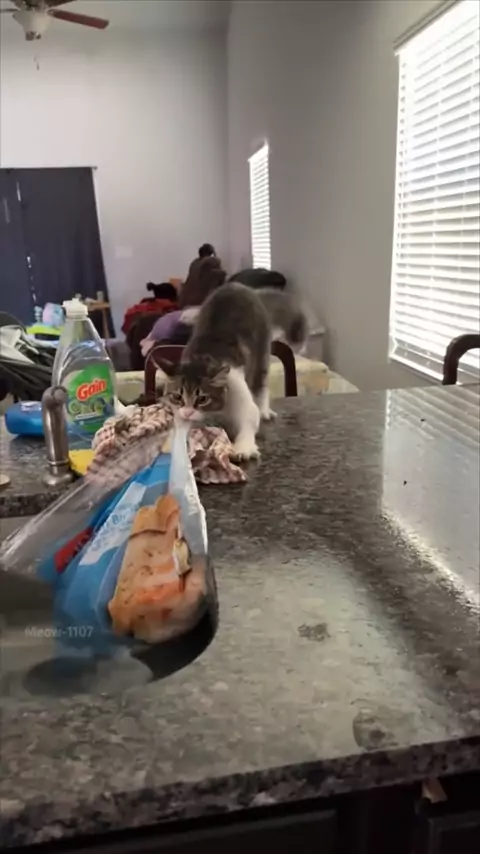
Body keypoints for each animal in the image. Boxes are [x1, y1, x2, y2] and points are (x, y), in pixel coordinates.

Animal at [156, 282, 307, 461]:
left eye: (203, 399)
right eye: (177, 397)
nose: (187, 412)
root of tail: (238, 285)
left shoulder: (237, 387)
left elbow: (250, 416)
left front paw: (244, 447)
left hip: (262, 350)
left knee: (261, 383)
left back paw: (264, 410)